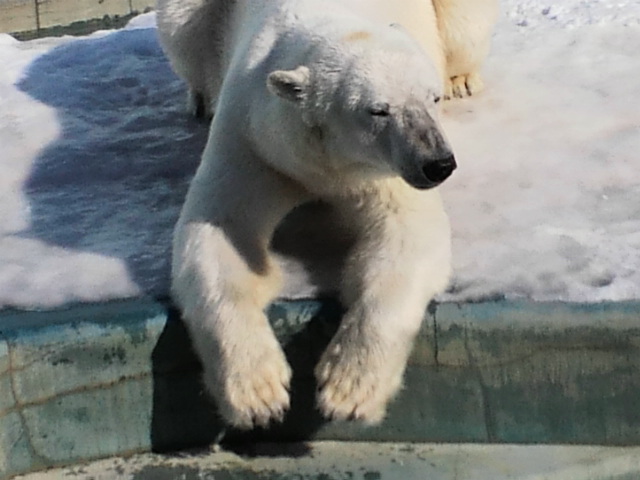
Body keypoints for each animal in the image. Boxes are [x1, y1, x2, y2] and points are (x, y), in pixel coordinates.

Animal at [160, 0, 468, 428]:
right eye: (378, 110)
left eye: (431, 98)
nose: (437, 164)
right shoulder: (256, 136)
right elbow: (220, 230)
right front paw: (257, 394)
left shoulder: (382, 173)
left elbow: (407, 235)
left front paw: (348, 389)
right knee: (184, 34)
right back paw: (199, 99)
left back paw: (462, 79)